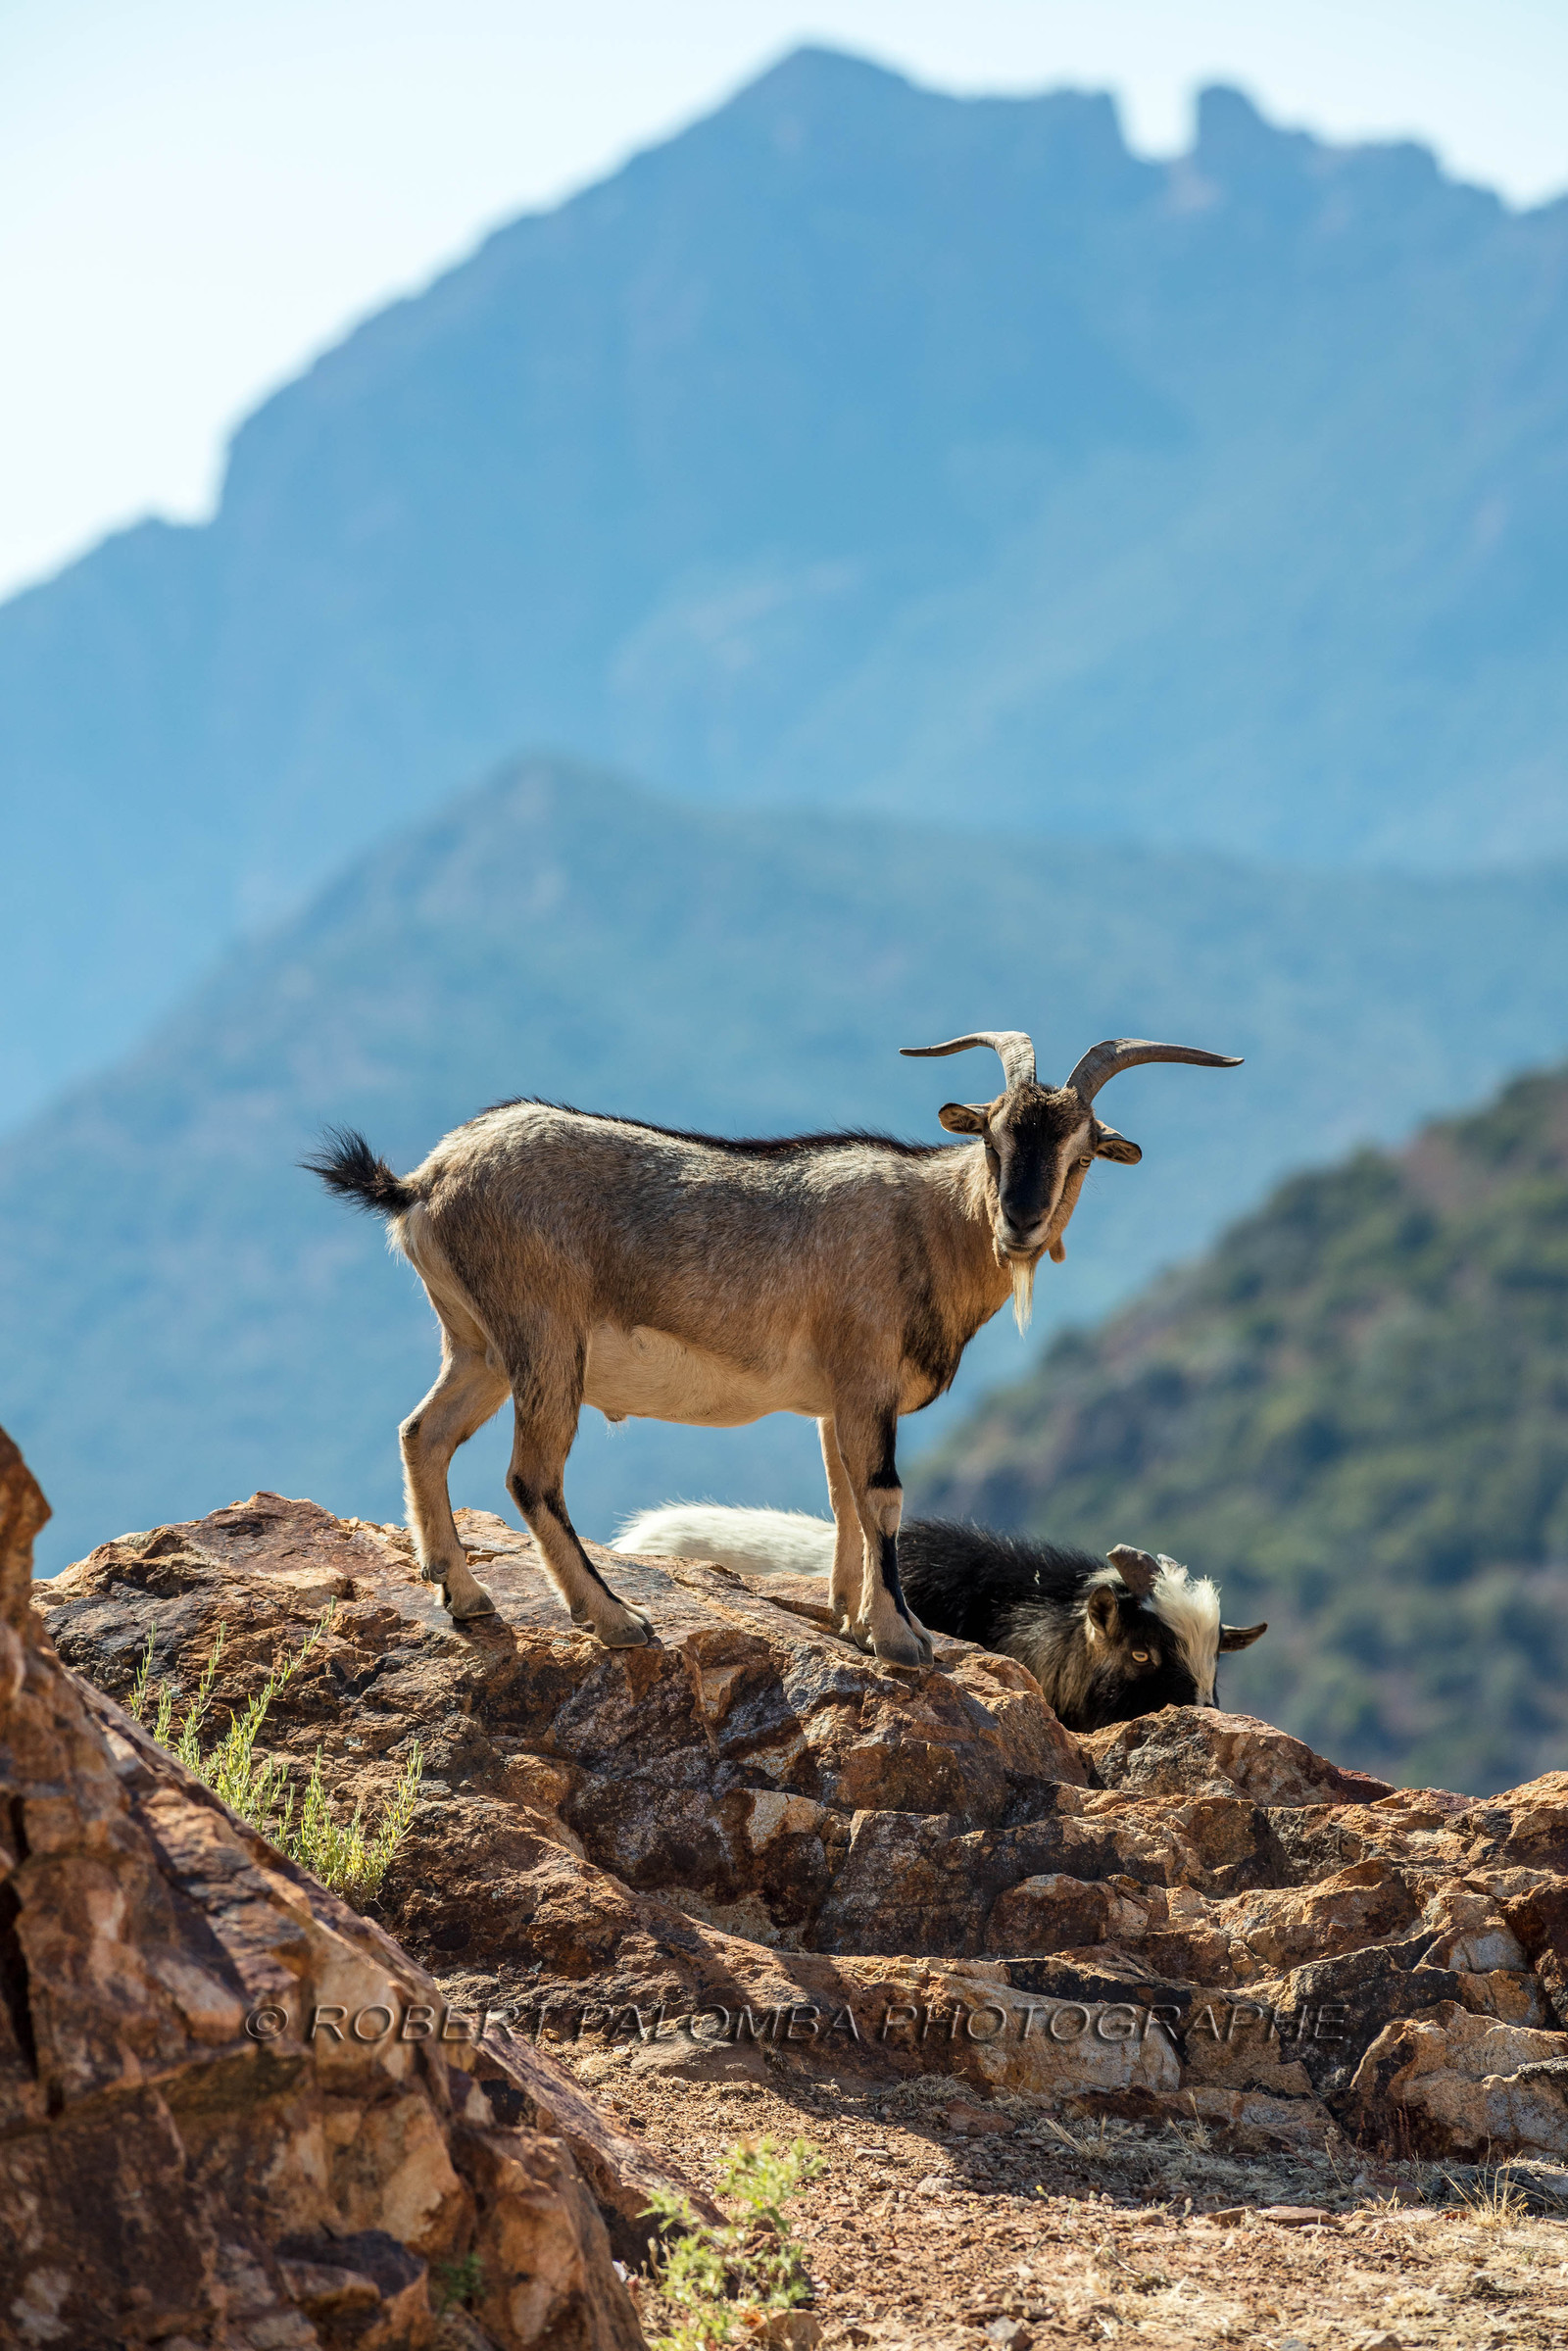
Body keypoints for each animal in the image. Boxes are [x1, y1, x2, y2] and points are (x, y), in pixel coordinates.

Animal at [306, 1028, 1239, 1663]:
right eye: (993, 1132)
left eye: (1081, 1152)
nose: (1019, 1220)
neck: (928, 1225)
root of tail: (423, 1181)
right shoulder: (866, 1381)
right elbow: (884, 1498)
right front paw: (904, 1639)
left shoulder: (837, 1401)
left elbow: (844, 1501)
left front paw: (851, 1621)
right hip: (545, 1340)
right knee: (531, 1475)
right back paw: (614, 1617)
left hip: (479, 1344)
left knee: (423, 1433)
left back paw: (464, 1596)